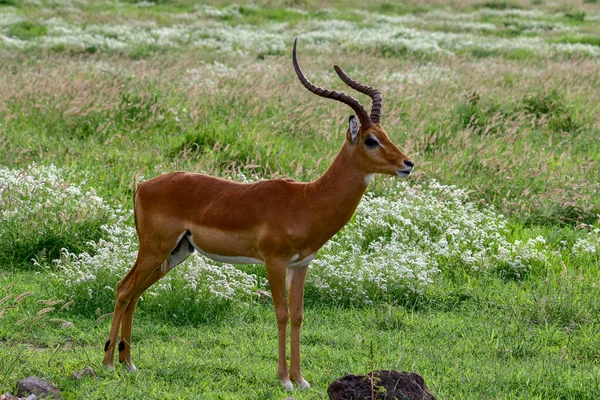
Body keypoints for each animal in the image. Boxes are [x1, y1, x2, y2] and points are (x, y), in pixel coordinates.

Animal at [102, 39, 412, 390]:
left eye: (386, 135)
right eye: (371, 140)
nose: (407, 164)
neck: (307, 200)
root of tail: (142, 186)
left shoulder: (301, 264)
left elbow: (298, 315)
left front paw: (301, 379)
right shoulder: (273, 261)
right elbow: (281, 313)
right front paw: (284, 380)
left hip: (176, 252)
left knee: (135, 293)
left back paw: (129, 363)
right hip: (155, 249)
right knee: (124, 288)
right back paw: (109, 362)